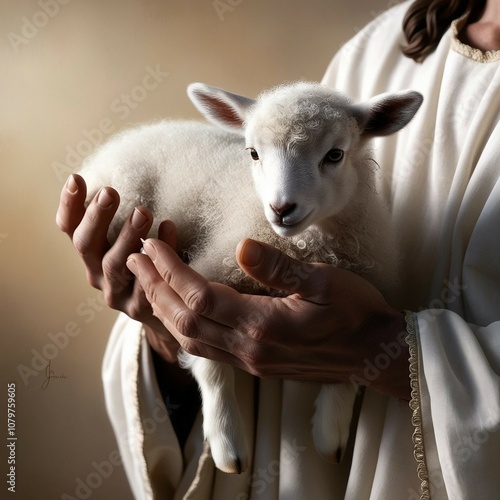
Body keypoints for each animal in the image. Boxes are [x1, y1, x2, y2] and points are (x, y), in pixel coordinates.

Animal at [78, 80, 422, 474]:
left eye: (335, 155)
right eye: (254, 153)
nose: (281, 208)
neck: (306, 244)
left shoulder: (366, 297)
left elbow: (355, 366)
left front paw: (330, 434)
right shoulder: (211, 277)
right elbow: (211, 368)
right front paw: (228, 446)